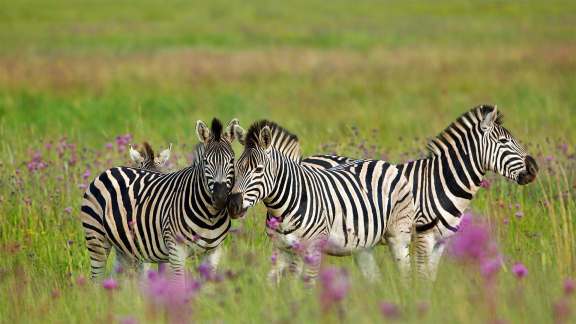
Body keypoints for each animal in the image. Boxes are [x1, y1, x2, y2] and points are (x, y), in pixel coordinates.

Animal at [80, 117, 243, 280]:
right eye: (206, 161)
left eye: (232, 160)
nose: (220, 197)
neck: (210, 216)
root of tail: (110, 170)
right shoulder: (174, 251)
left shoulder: (212, 252)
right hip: (96, 238)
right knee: (96, 278)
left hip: (123, 248)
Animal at [227, 120, 416, 282]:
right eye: (236, 167)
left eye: (258, 170)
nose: (233, 205)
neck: (283, 207)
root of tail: (385, 163)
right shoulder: (281, 248)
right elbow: (273, 283)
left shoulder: (312, 248)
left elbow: (304, 284)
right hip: (363, 246)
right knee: (374, 278)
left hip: (398, 235)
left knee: (406, 273)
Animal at [302, 105, 540, 280]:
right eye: (504, 141)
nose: (534, 169)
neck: (441, 182)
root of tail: (306, 158)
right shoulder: (424, 236)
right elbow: (421, 276)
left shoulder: (441, 241)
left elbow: (431, 277)